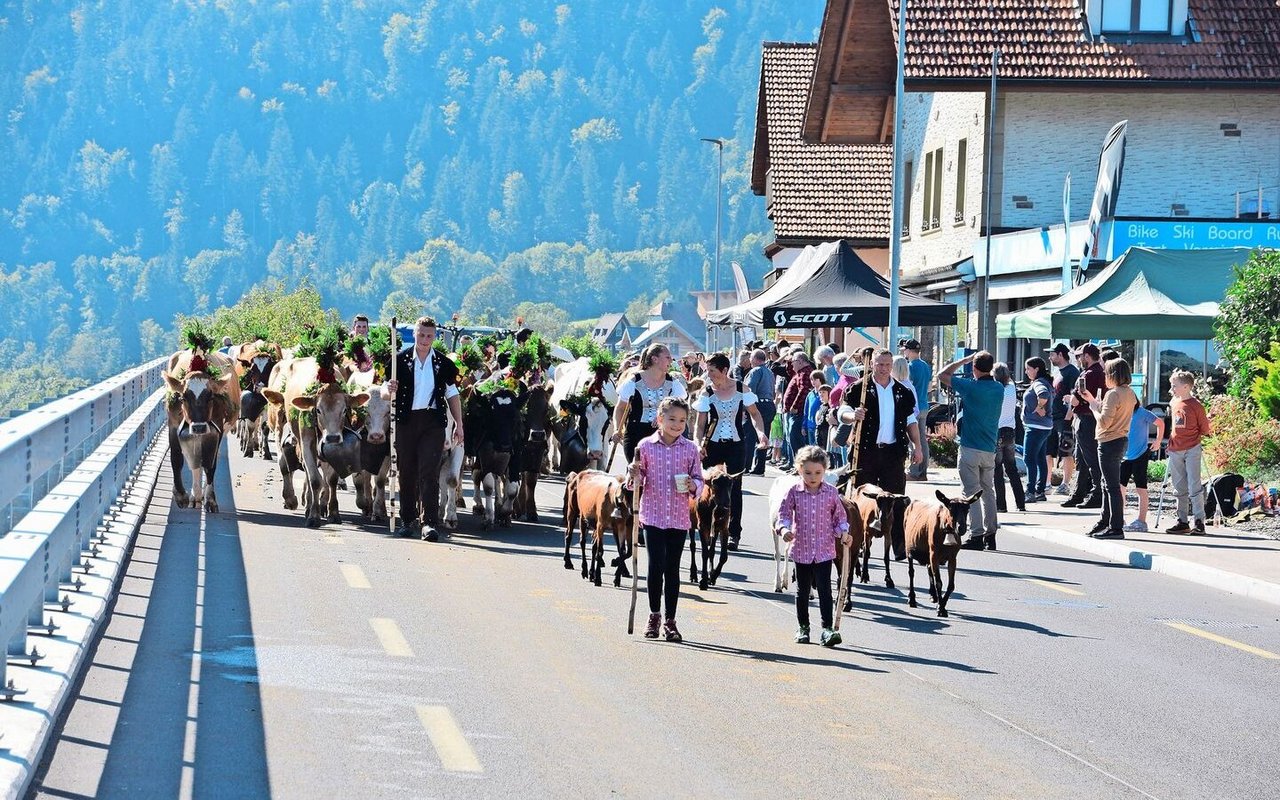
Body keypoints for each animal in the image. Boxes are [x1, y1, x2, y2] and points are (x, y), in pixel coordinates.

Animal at [165, 322, 241, 514]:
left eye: (211, 397)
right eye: (183, 397)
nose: (198, 427)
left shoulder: (217, 430)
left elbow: (210, 465)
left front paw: (211, 500)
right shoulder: (173, 424)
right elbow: (177, 458)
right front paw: (181, 496)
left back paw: (200, 496)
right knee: (195, 462)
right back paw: (195, 496)